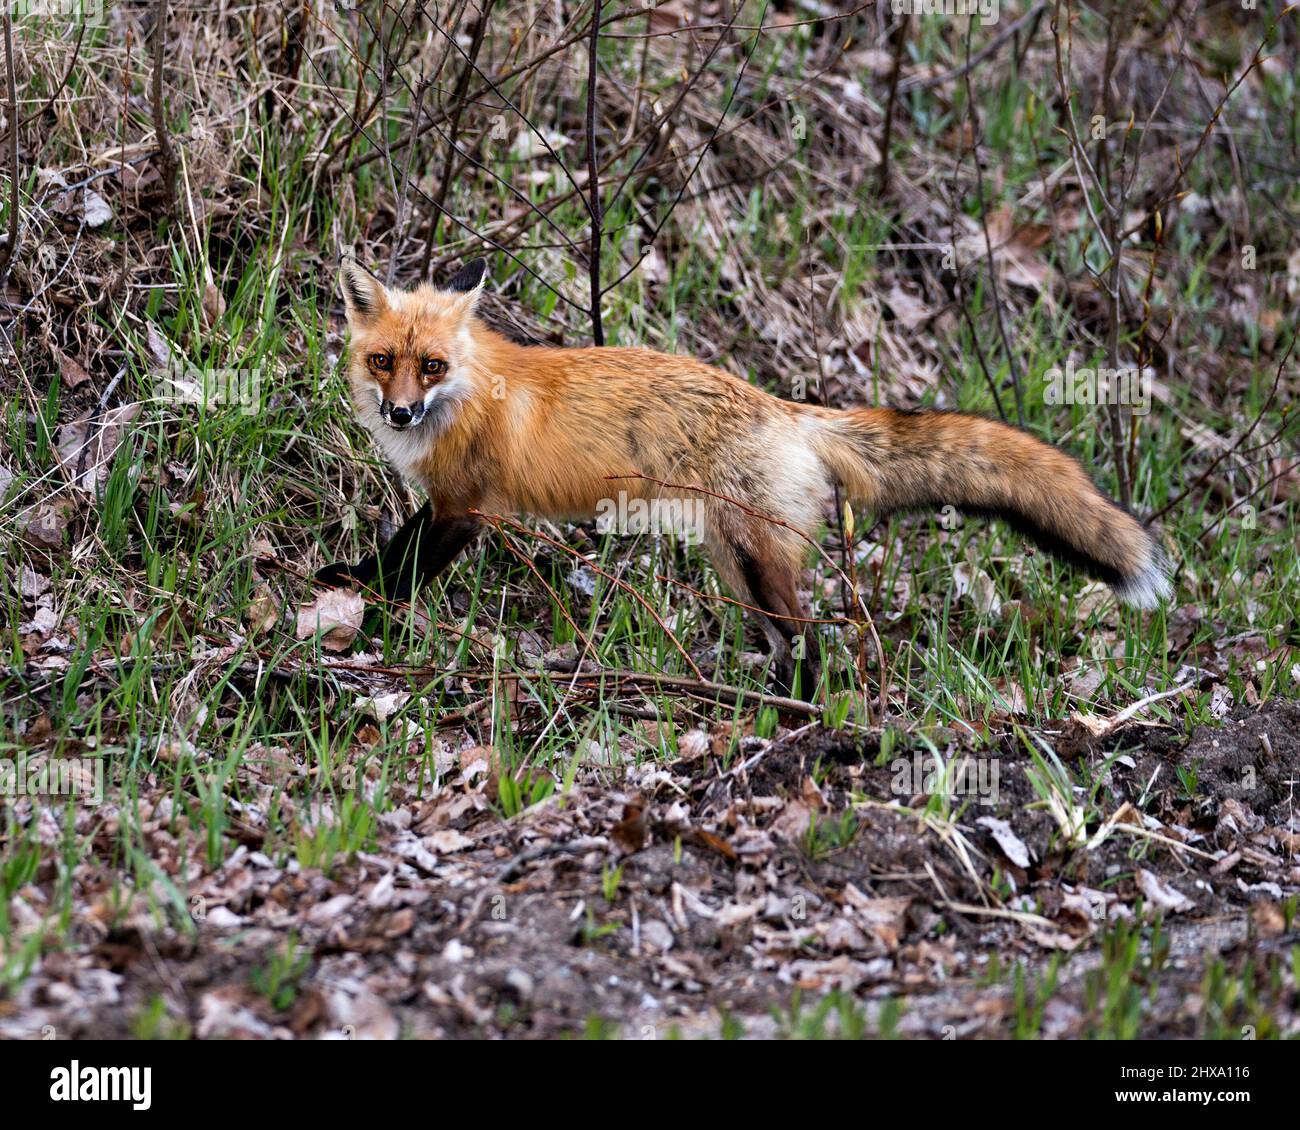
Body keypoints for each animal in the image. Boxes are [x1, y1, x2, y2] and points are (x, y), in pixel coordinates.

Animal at [319, 258, 1175, 691]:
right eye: (383, 360)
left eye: (431, 365)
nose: (400, 413)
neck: (468, 393)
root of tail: (785, 406)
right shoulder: (447, 503)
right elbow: (393, 552)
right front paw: (349, 585)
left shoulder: (466, 509)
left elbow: (402, 567)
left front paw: (366, 608)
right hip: (734, 561)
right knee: (791, 640)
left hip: (756, 557)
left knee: (816, 644)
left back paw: (797, 714)